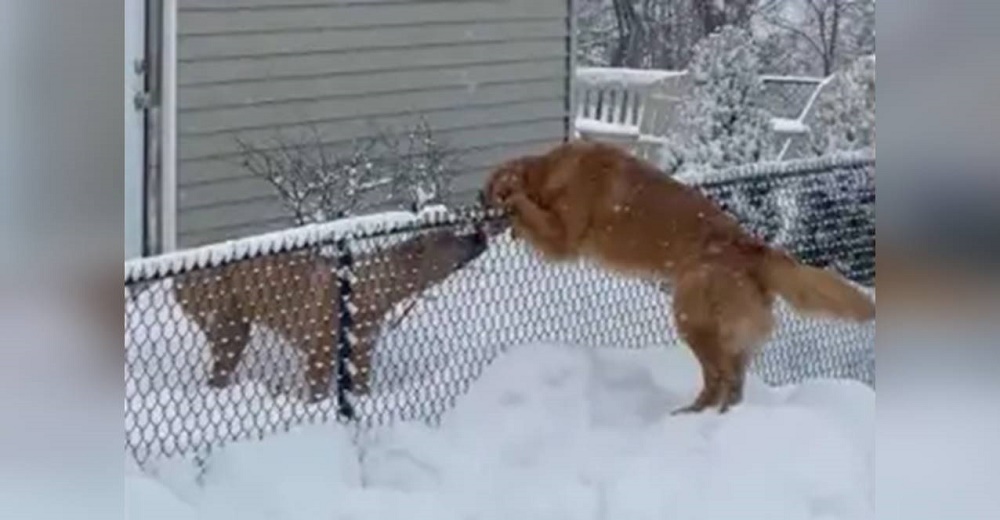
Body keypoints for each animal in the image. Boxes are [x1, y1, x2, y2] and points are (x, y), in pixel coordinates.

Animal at [484, 141, 876, 414]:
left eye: (488, 196)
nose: (480, 224)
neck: (551, 171)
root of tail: (754, 249)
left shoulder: (563, 238)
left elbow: (532, 213)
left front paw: (515, 205)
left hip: (691, 316)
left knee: (718, 379)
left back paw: (692, 417)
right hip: (729, 335)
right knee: (733, 385)